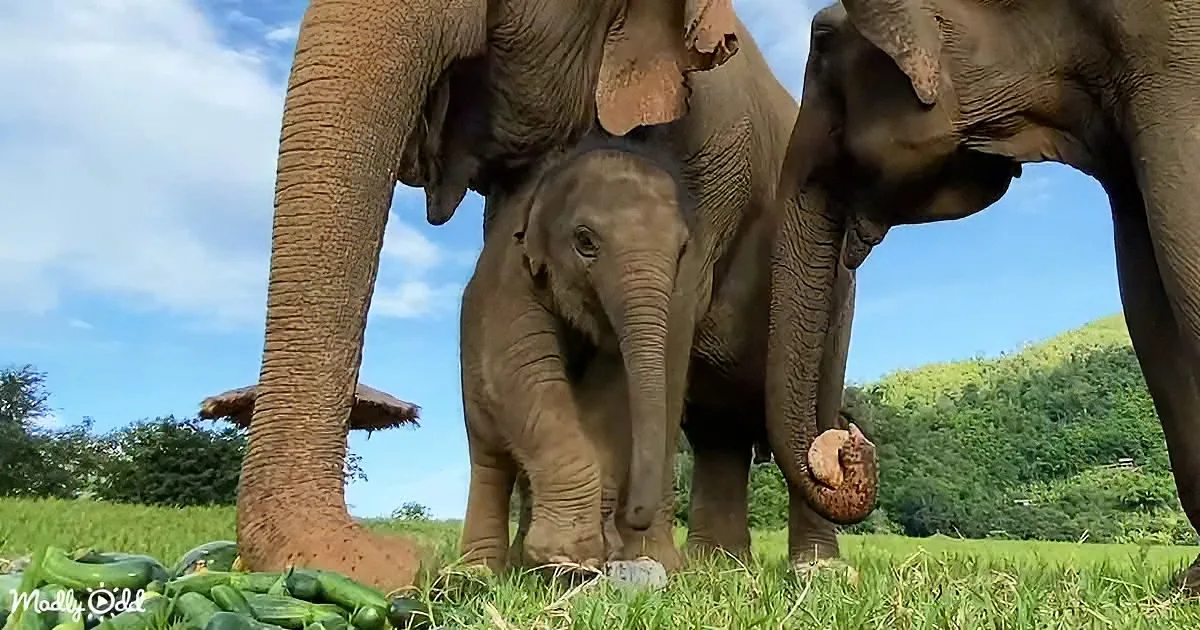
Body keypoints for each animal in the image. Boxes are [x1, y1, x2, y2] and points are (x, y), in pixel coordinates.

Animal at [457, 133, 694, 573]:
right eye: (585, 241)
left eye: (683, 249)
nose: (634, 518)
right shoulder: (513, 283)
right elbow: (524, 374)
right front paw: (567, 558)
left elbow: (610, 395)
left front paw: (587, 557)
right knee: (489, 462)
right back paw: (476, 574)